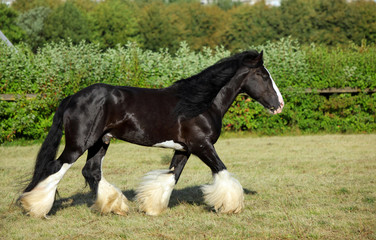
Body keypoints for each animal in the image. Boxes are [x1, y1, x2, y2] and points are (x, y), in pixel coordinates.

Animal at [17, 50, 282, 218]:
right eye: (263, 75)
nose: (279, 105)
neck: (201, 103)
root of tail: (73, 97)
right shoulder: (202, 145)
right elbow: (223, 172)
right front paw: (231, 207)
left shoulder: (184, 149)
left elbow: (171, 177)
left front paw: (151, 208)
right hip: (78, 144)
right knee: (55, 167)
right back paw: (34, 208)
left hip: (100, 142)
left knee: (91, 171)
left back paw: (115, 206)